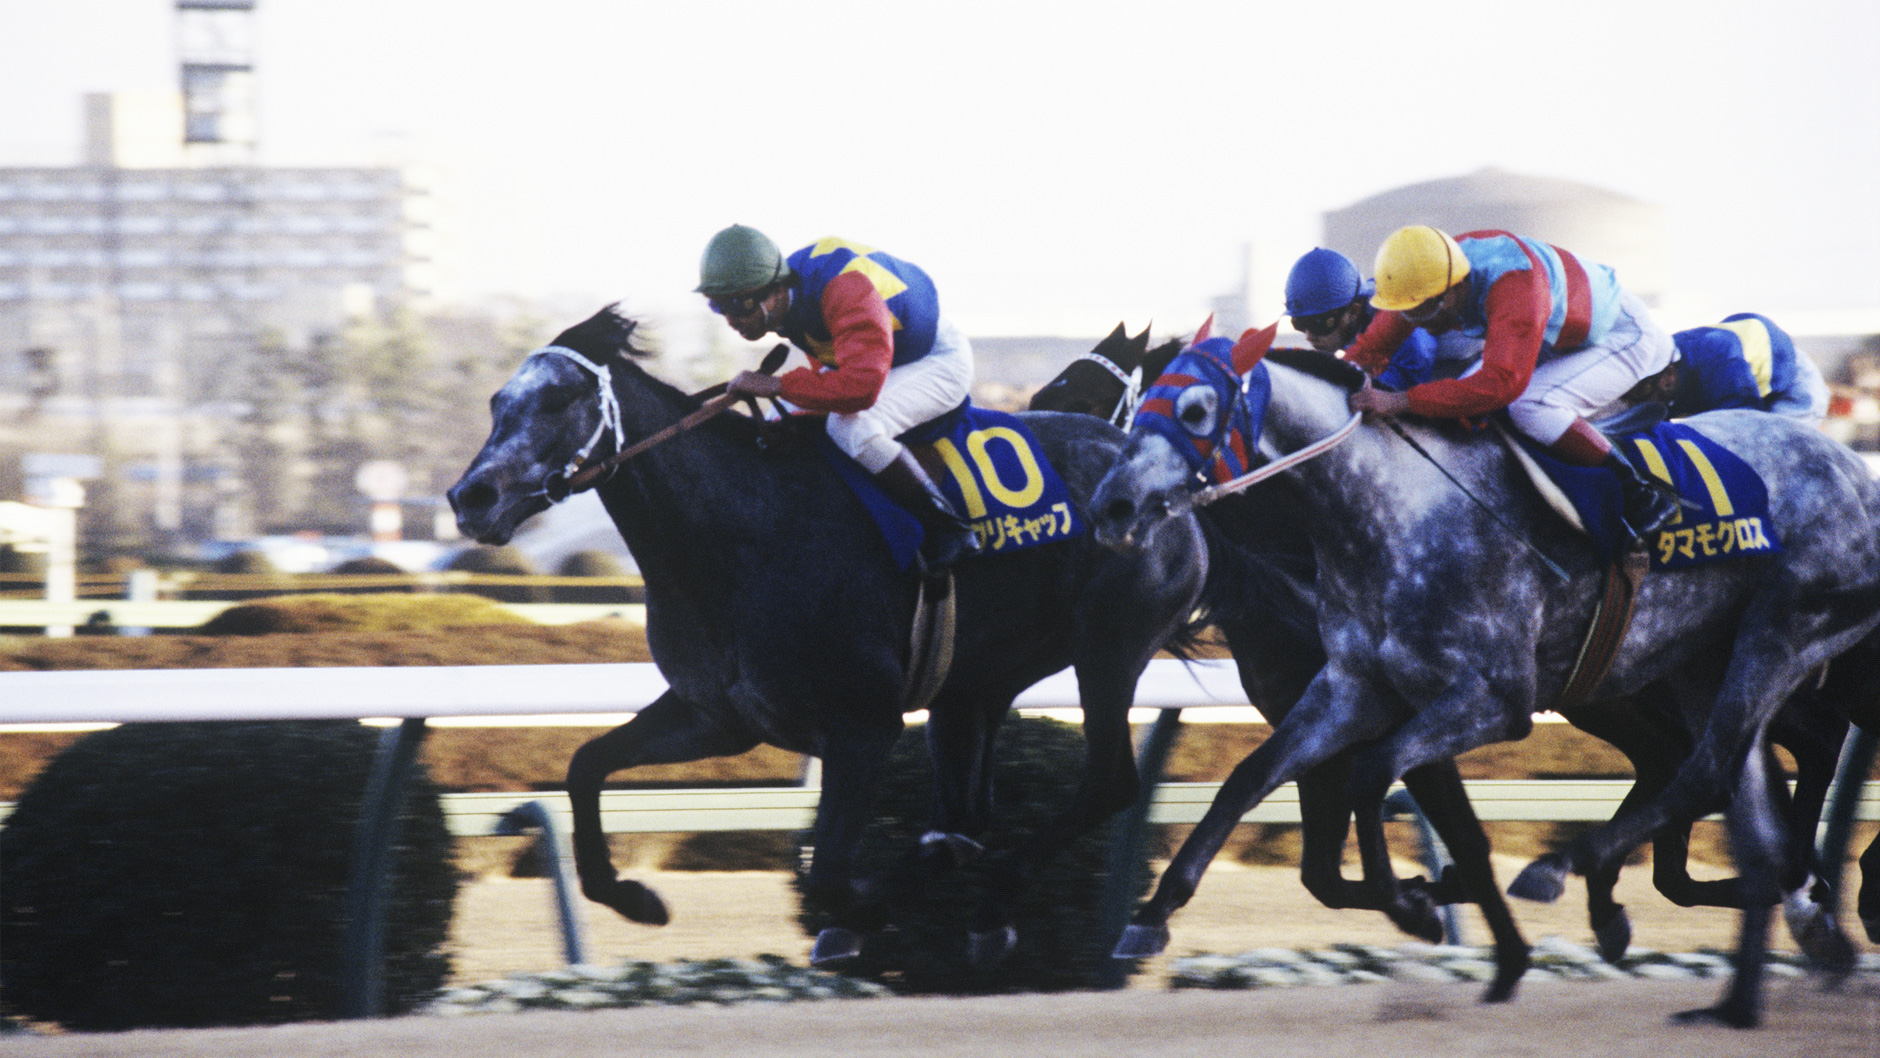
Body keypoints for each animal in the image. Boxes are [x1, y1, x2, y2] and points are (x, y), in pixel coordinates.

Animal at [445, 306, 1216, 965]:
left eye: (555, 401)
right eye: (496, 403)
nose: (469, 497)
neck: (741, 535)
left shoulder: (862, 726)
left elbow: (830, 876)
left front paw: (866, 911)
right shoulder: (717, 715)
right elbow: (586, 764)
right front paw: (632, 897)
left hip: (1108, 650)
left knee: (1109, 782)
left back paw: (1004, 902)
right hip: (978, 683)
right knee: (973, 809)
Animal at [1089, 327, 1880, 1027]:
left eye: (1195, 409)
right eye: (1142, 405)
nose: (1109, 505)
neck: (1389, 510)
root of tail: (1855, 471)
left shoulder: (1489, 699)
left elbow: (1377, 782)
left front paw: (1417, 905)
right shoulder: (1352, 688)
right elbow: (1250, 779)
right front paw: (1151, 916)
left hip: (1782, 627)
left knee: (1719, 762)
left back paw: (1572, 869)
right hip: (1700, 659)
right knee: (1732, 789)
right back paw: (1743, 984)